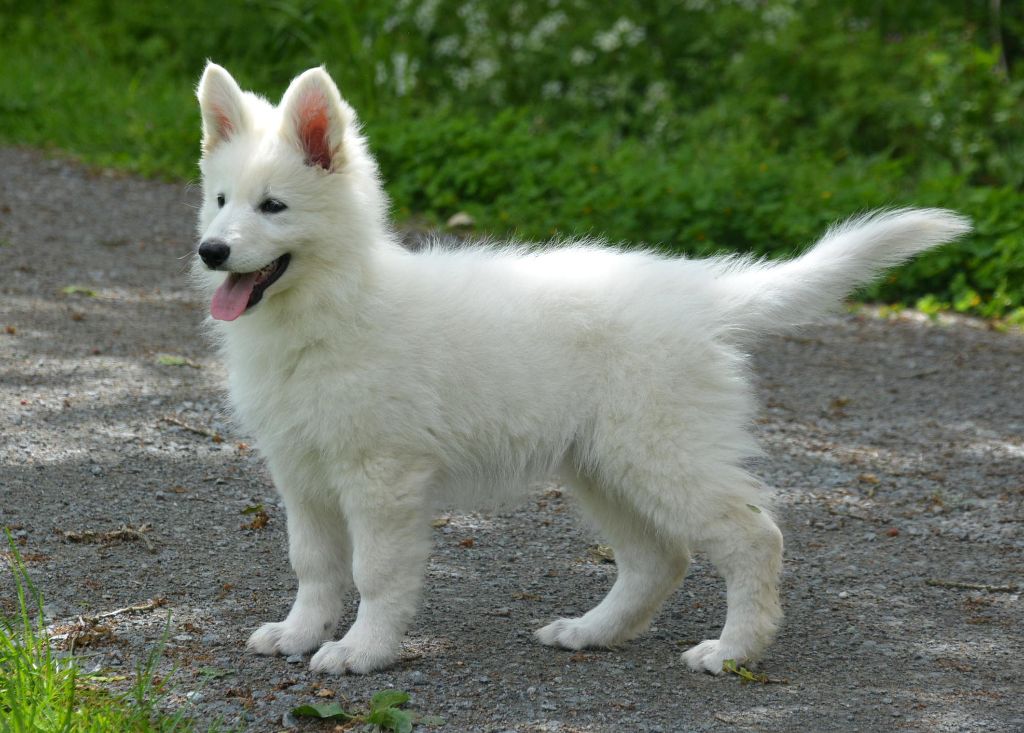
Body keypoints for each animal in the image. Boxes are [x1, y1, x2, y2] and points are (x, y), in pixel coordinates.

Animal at [190, 64, 966, 675]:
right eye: (221, 201)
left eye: (274, 206)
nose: (210, 251)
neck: (332, 304)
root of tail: (700, 292)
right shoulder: (301, 471)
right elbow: (314, 565)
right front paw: (299, 634)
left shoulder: (382, 477)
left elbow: (375, 572)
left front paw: (362, 649)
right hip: (602, 465)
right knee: (658, 560)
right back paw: (593, 632)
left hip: (657, 453)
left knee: (753, 536)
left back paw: (734, 649)